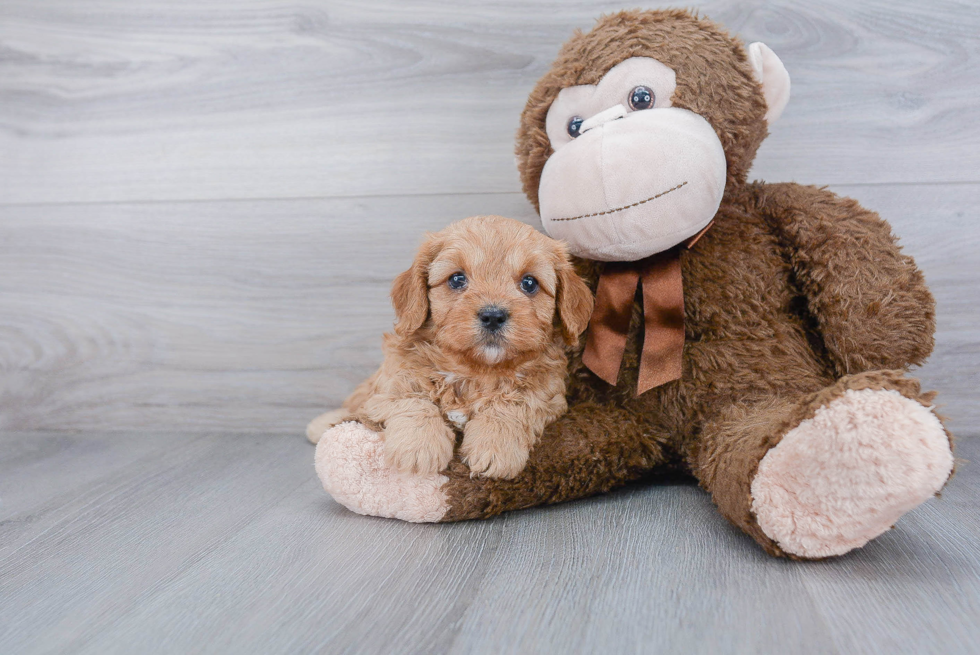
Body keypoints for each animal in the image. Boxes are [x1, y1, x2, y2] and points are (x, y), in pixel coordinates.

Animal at [310, 218, 592, 480]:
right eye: (457, 279)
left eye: (530, 283)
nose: (493, 316)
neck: (475, 371)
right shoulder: (386, 389)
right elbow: (411, 399)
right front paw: (419, 448)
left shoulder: (549, 397)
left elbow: (515, 403)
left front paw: (495, 445)